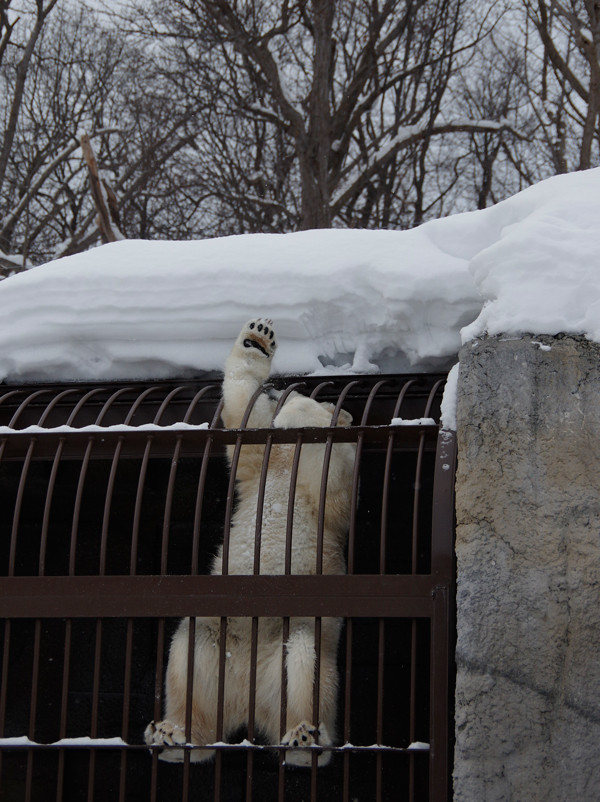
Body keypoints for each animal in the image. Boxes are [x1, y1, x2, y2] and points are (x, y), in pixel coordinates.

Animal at [145, 316, 356, 764]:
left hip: (293, 642)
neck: (285, 465)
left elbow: (331, 475)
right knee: (192, 655)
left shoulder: (326, 500)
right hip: (219, 636)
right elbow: (245, 412)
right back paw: (175, 734)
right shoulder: (261, 465)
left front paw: (302, 413)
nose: (277, 389)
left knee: (306, 665)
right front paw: (256, 338)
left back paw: (304, 740)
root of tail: (248, 701)